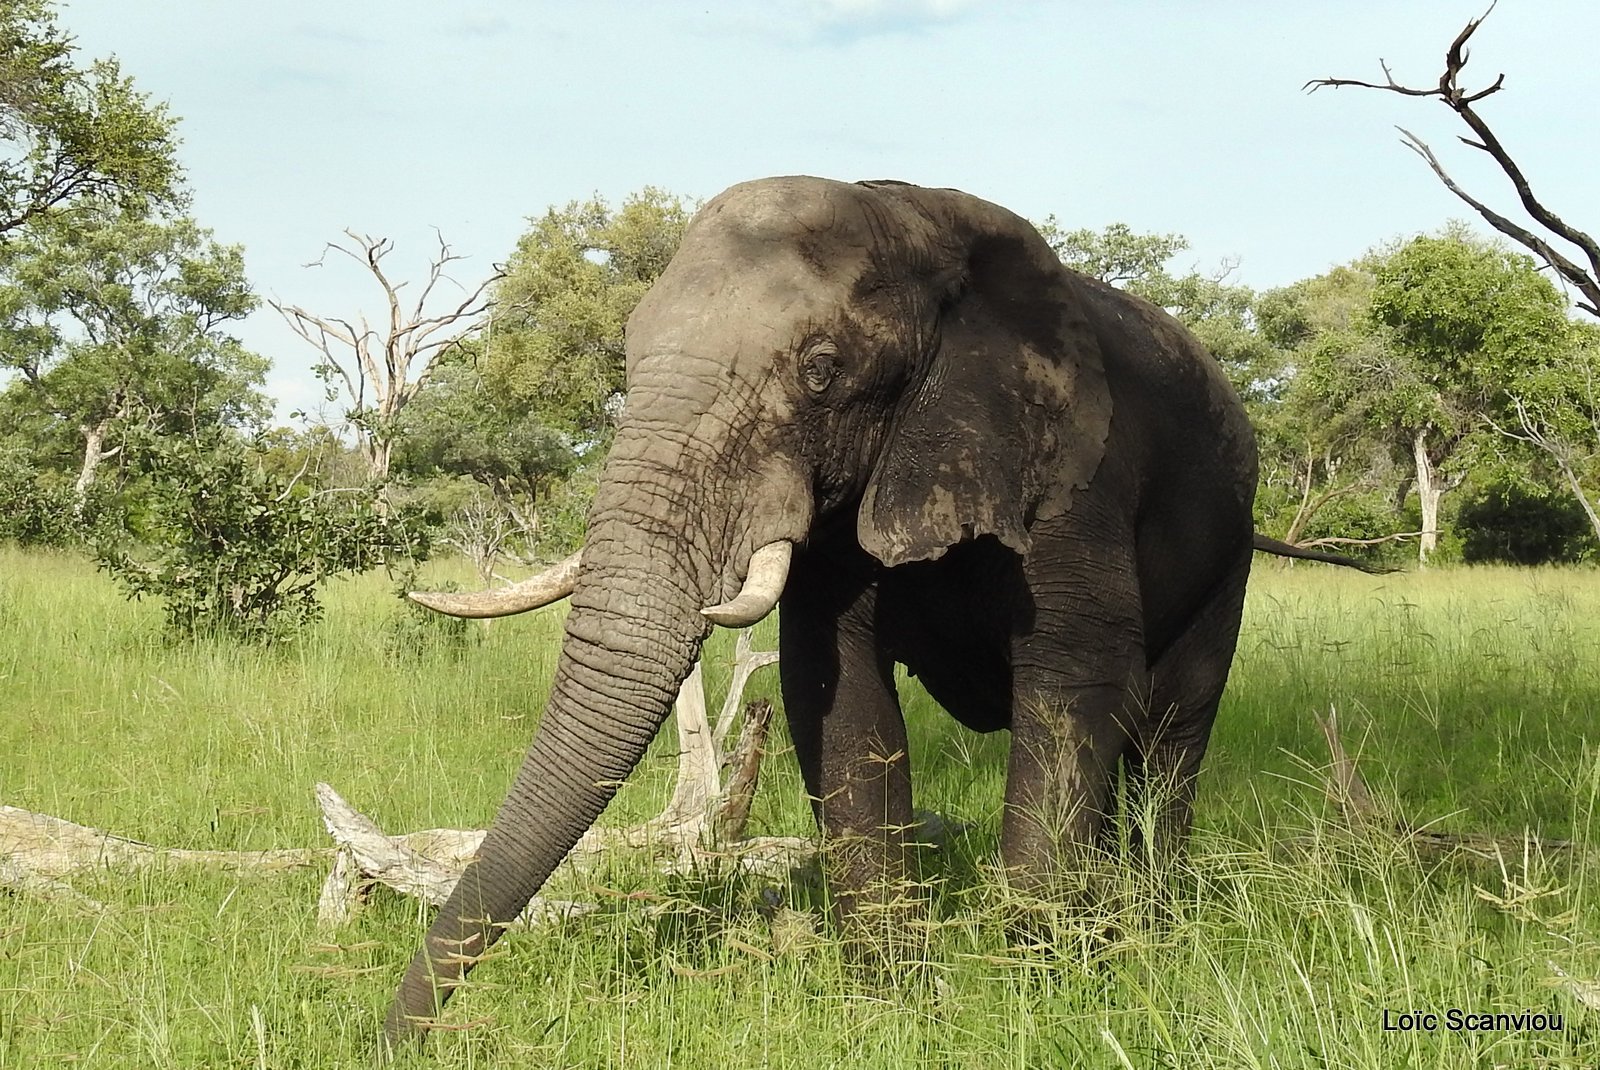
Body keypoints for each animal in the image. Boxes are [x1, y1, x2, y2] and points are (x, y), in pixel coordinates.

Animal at [384, 177, 1260, 1049]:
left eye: (821, 370)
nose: (396, 1038)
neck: (918, 221)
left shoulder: (1074, 476)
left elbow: (1074, 686)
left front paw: (1038, 988)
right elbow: (836, 700)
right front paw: (894, 1004)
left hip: (1231, 546)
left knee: (1171, 733)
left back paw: (1149, 928)